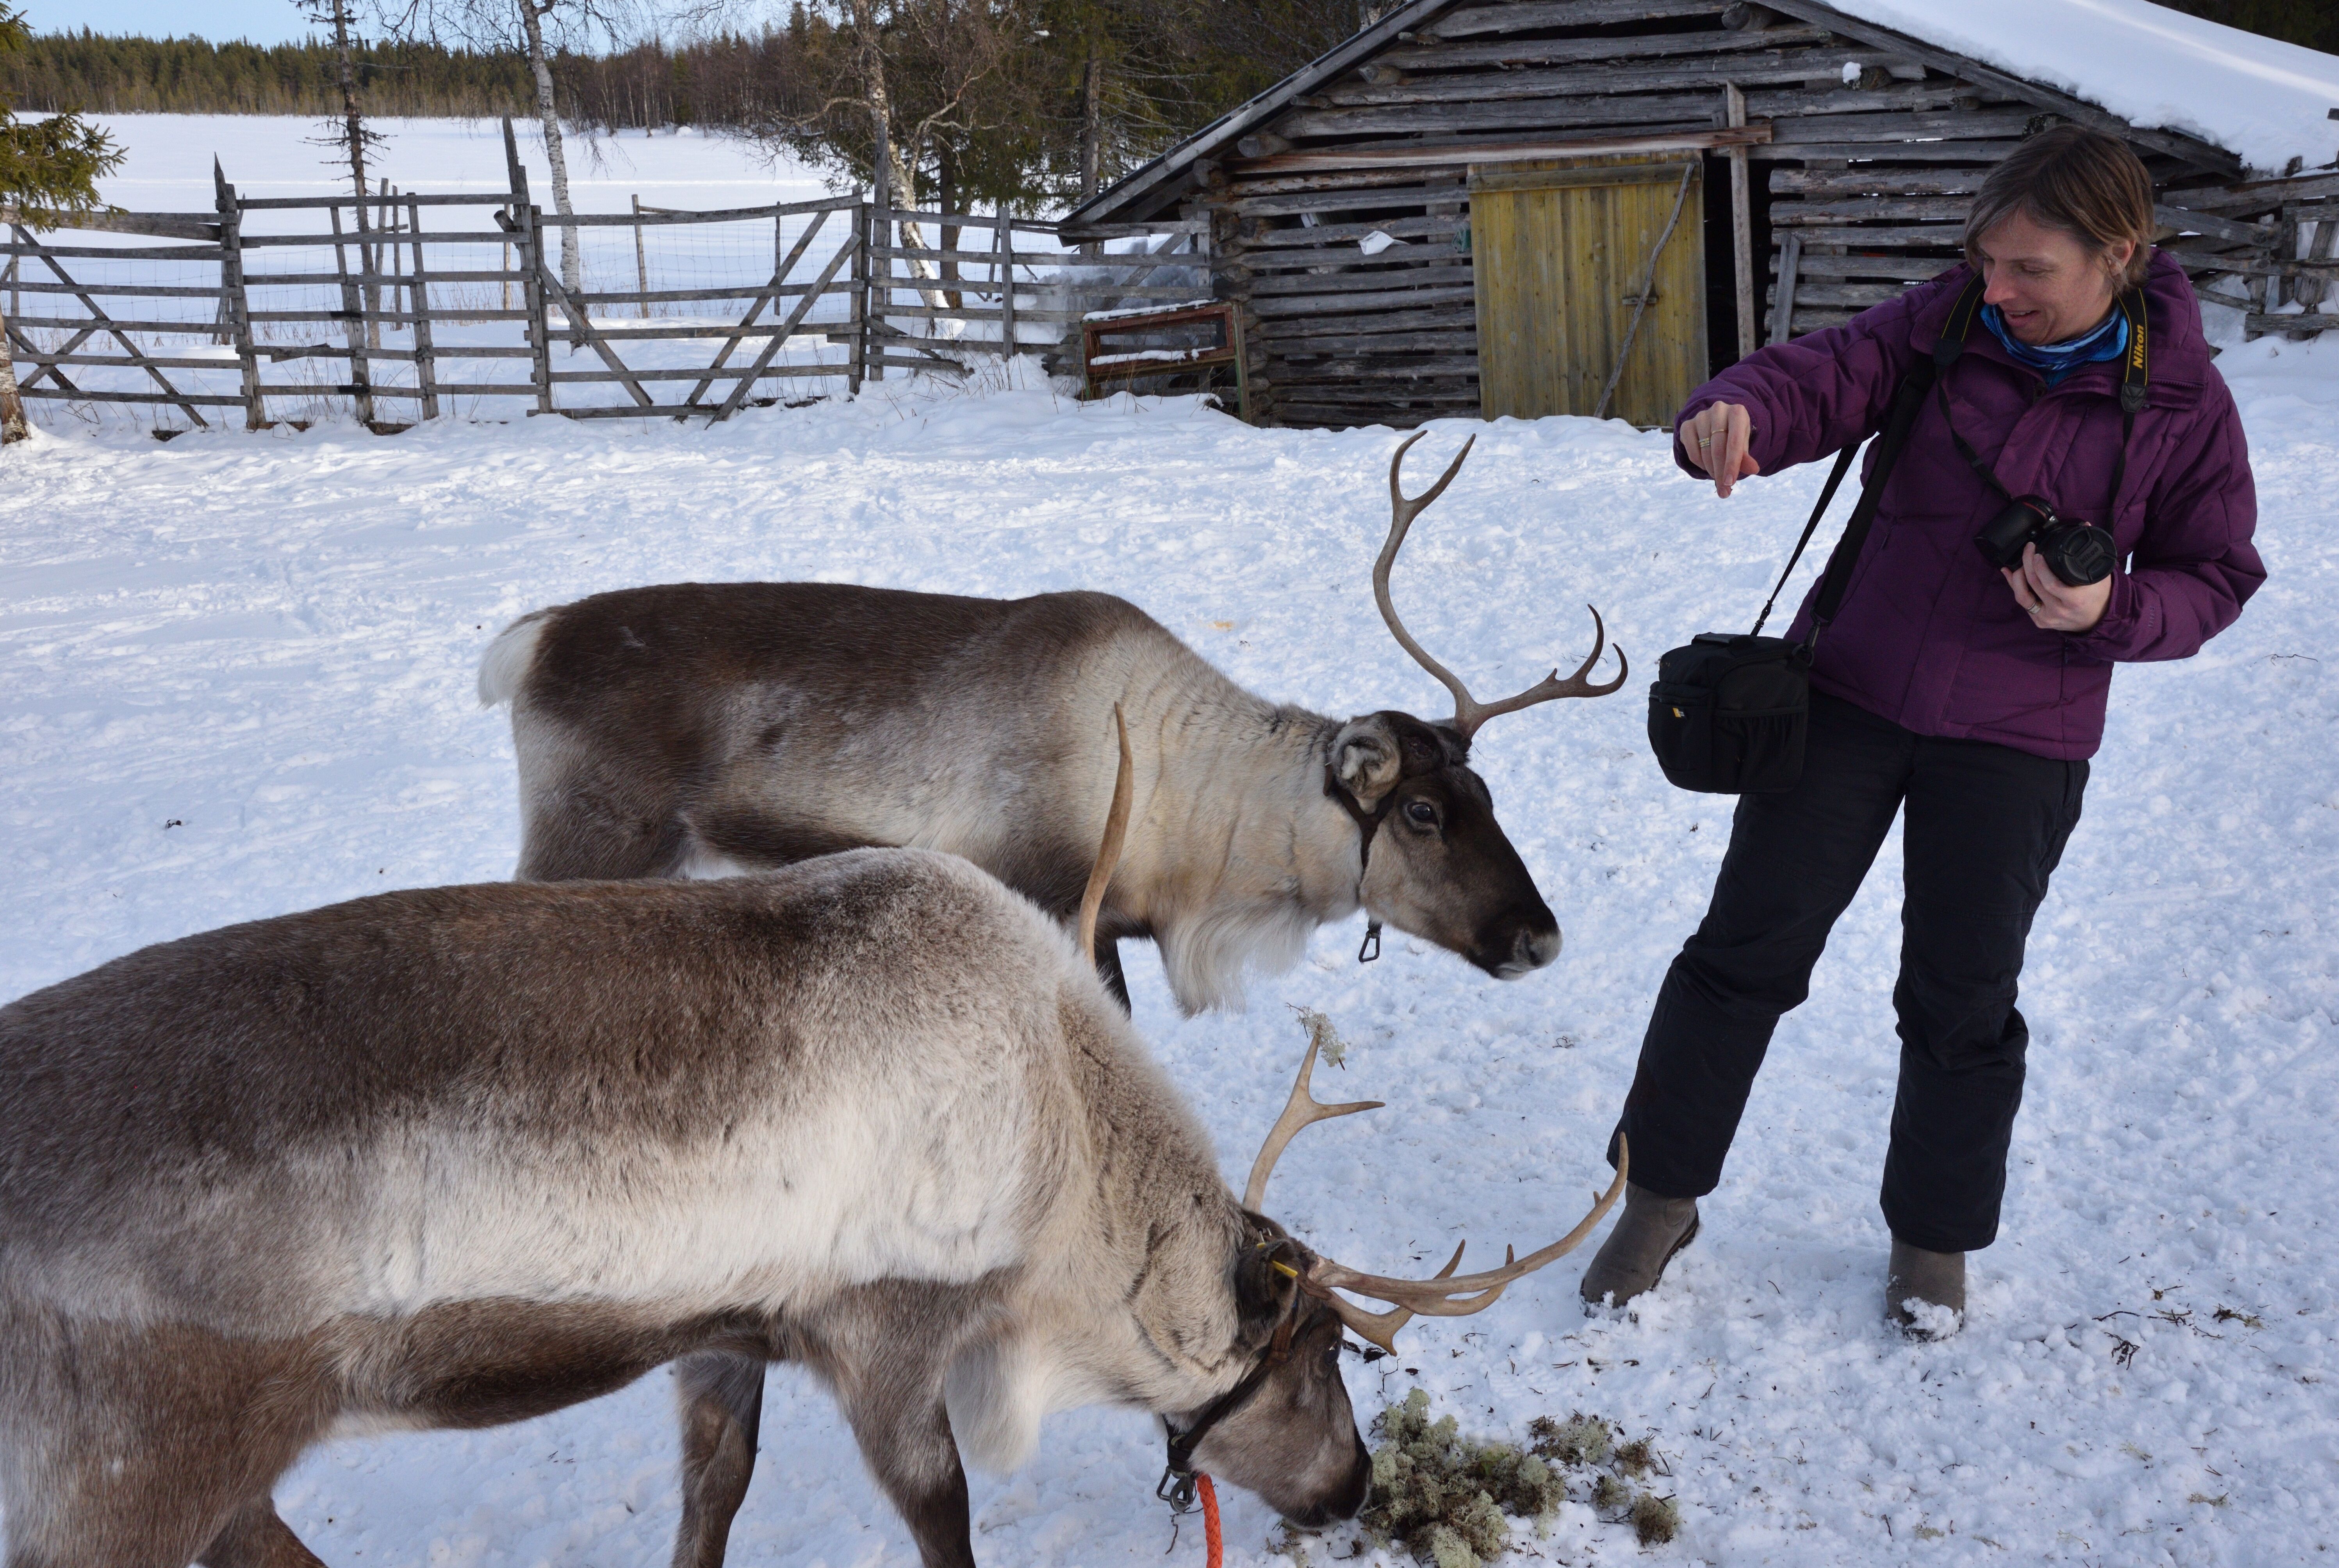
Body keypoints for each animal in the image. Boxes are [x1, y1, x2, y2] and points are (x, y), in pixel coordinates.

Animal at [0, 708, 1627, 1568]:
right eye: (1315, 1361)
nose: (1355, 1489)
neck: (1062, 1158)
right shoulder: (887, 1336)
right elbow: (948, 1524)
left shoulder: (721, 1325)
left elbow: (709, 1501)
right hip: (134, 1465)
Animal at [477, 432, 1626, 1014]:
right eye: (1423, 812)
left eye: (1486, 794)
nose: (1540, 935)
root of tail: (528, 640)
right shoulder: (1058, 900)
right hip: (588, 838)